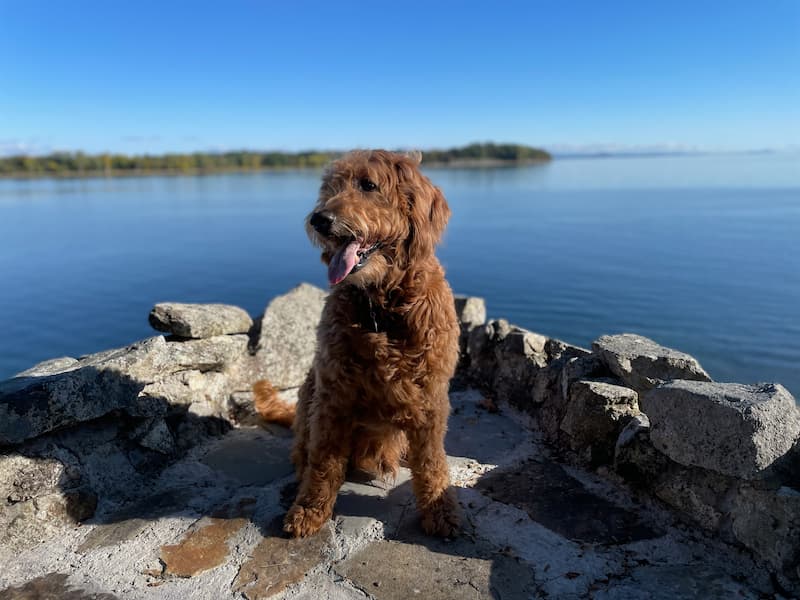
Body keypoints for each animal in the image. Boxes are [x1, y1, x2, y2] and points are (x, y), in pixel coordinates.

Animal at [253, 150, 460, 540]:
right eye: (330, 188)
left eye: (368, 185)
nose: (319, 219)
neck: (381, 308)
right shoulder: (333, 397)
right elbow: (324, 462)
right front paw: (310, 509)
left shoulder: (430, 399)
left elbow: (432, 462)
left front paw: (440, 510)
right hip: (309, 394)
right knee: (305, 453)